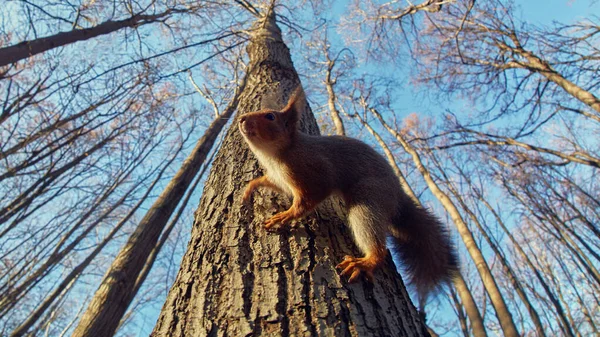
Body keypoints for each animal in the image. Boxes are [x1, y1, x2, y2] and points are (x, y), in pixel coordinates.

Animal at [237, 86, 458, 300]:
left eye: (270, 116)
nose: (241, 118)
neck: (275, 154)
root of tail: (398, 196)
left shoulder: (313, 173)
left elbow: (307, 200)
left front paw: (284, 216)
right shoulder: (279, 178)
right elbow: (267, 182)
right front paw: (249, 188)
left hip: (370, 195)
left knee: (373, 234)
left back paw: (366, 262)